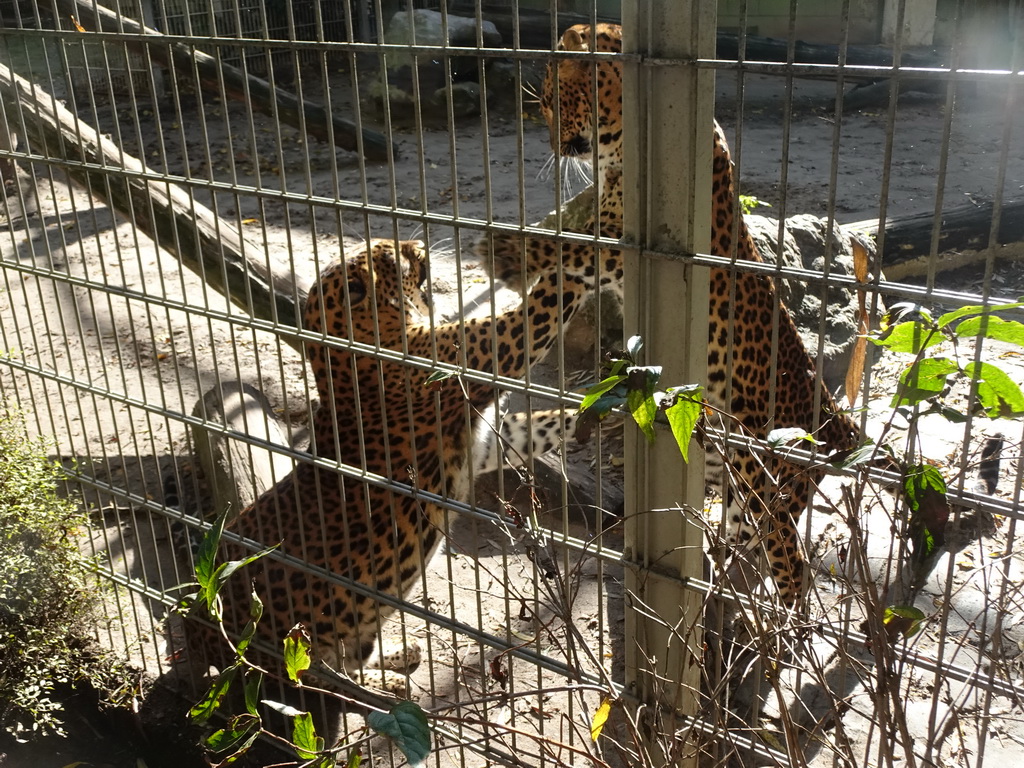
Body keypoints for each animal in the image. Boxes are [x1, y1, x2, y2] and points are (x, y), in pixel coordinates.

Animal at [192, 237, 598, 688]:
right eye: (392, 252)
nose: (418, 243)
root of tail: (200, 634)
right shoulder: (498, 344)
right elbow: (552, 293)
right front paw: (594, 234)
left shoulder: (480, 446)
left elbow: (537, 429)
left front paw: (602, 413)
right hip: (293, 649)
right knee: (329, 679)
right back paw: (387, 685)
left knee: (355, 656)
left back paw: (400, 654)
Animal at [479, 20, 872, 606]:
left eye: (552, 101)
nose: (553, 146)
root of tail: (832, 415)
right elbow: (559, 271)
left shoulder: (627, 241)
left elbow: (572, 248)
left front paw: (506, 252)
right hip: (734, 485)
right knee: (741, 543)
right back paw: (716, 591)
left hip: (762, 474)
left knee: (791, 562)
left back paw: (777, 622)